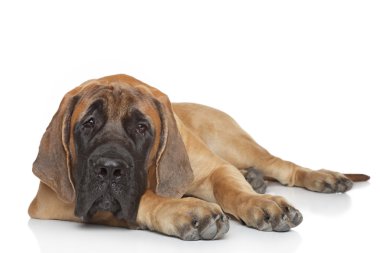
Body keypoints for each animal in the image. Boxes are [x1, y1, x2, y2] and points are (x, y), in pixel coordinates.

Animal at [28, 74, 370, 240]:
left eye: (141, 127)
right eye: (88, 123)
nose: (109, 169)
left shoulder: (214, 168)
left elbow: (230, 187)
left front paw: (259, 203)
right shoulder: (51, 198)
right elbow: (147, 198)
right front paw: (186, 210)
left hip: (235, 144)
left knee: (282, 166)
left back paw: (321, 178)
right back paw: (254, 180)